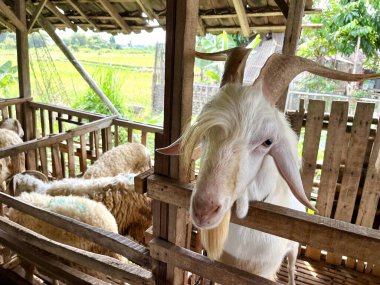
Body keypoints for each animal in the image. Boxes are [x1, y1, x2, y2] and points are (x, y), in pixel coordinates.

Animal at [158, 47, 380, 282]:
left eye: (268, 142)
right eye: (205, 134)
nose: (203, 210)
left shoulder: (264, 269)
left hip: (293, 247)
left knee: (291, 265)